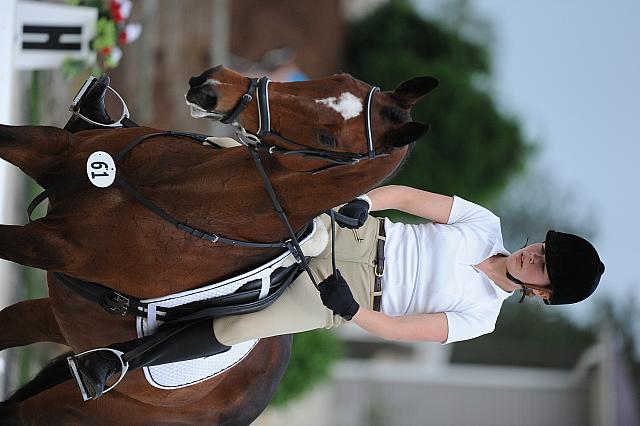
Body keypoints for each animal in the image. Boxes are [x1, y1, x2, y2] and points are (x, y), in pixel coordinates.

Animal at [0, 65, 438, 424]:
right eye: (336, 78)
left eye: (326, 137)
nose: (211, 87)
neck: (184, 191)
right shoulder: (51, 151)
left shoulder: (54, 246)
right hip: (59, 317)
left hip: (69, 409)